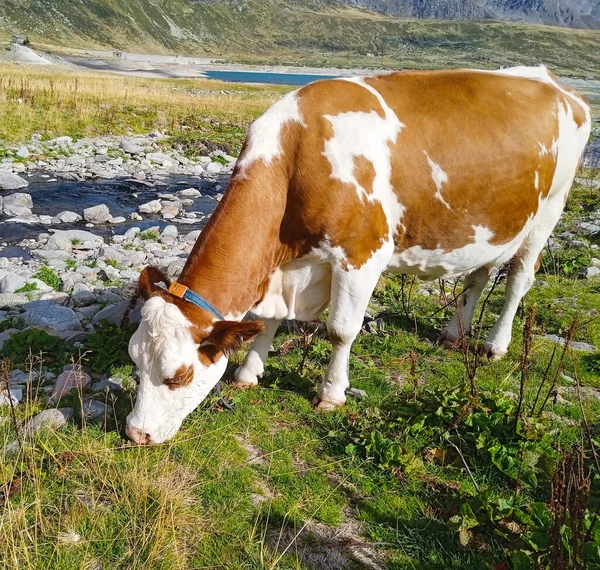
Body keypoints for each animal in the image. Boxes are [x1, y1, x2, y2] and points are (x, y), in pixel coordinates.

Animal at [125, 65, 592, 444]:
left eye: (178, 376)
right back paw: (453, 332)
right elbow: (269, 318)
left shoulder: (362, 253)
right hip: (491, 223)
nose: (135, 433)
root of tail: (556, 83)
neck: (297, 155)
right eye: (134, 360)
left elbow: (341, 330)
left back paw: (495, 345)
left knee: (518, 281)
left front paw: (331, 394)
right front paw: (248, 374)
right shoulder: (284, 267)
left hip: (549, 210)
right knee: (477, 277)